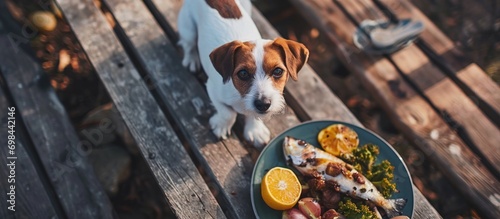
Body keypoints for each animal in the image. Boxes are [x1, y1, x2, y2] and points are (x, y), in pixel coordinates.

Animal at [176, 0, 308, 148]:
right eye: (243, 73)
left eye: (278, 71)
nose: (263, 104)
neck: (240, 96)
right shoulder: (212, 90)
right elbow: (228, 113)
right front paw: (221, 126)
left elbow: (252, 115)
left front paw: (255, 130)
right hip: (188, 28)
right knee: (189, 44)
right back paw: (191, 58)